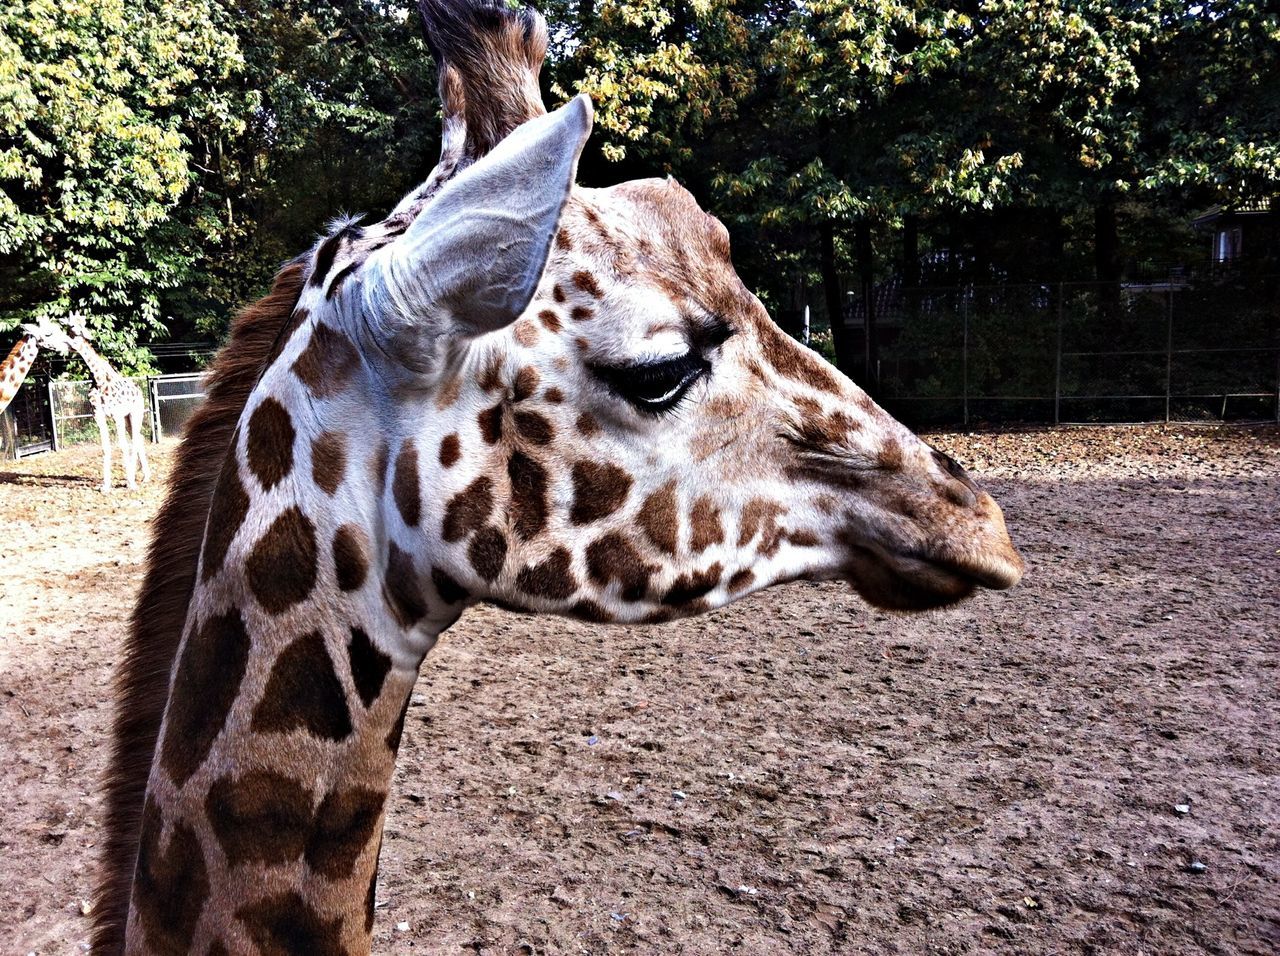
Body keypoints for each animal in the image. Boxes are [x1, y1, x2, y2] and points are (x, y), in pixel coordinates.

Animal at [30, 317, 151, 493]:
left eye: (72, 329)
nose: (66, 344)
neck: (100, 381)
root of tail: (139, 390)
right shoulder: (98, 415)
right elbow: (105, 447)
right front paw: (106, 486)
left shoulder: (116, 415)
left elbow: (123, 445)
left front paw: (130, 483)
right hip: (128, 417)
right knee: (139, 438)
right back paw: (144, 476)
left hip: (136, 412)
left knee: (135, 439)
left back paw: (136, 478)